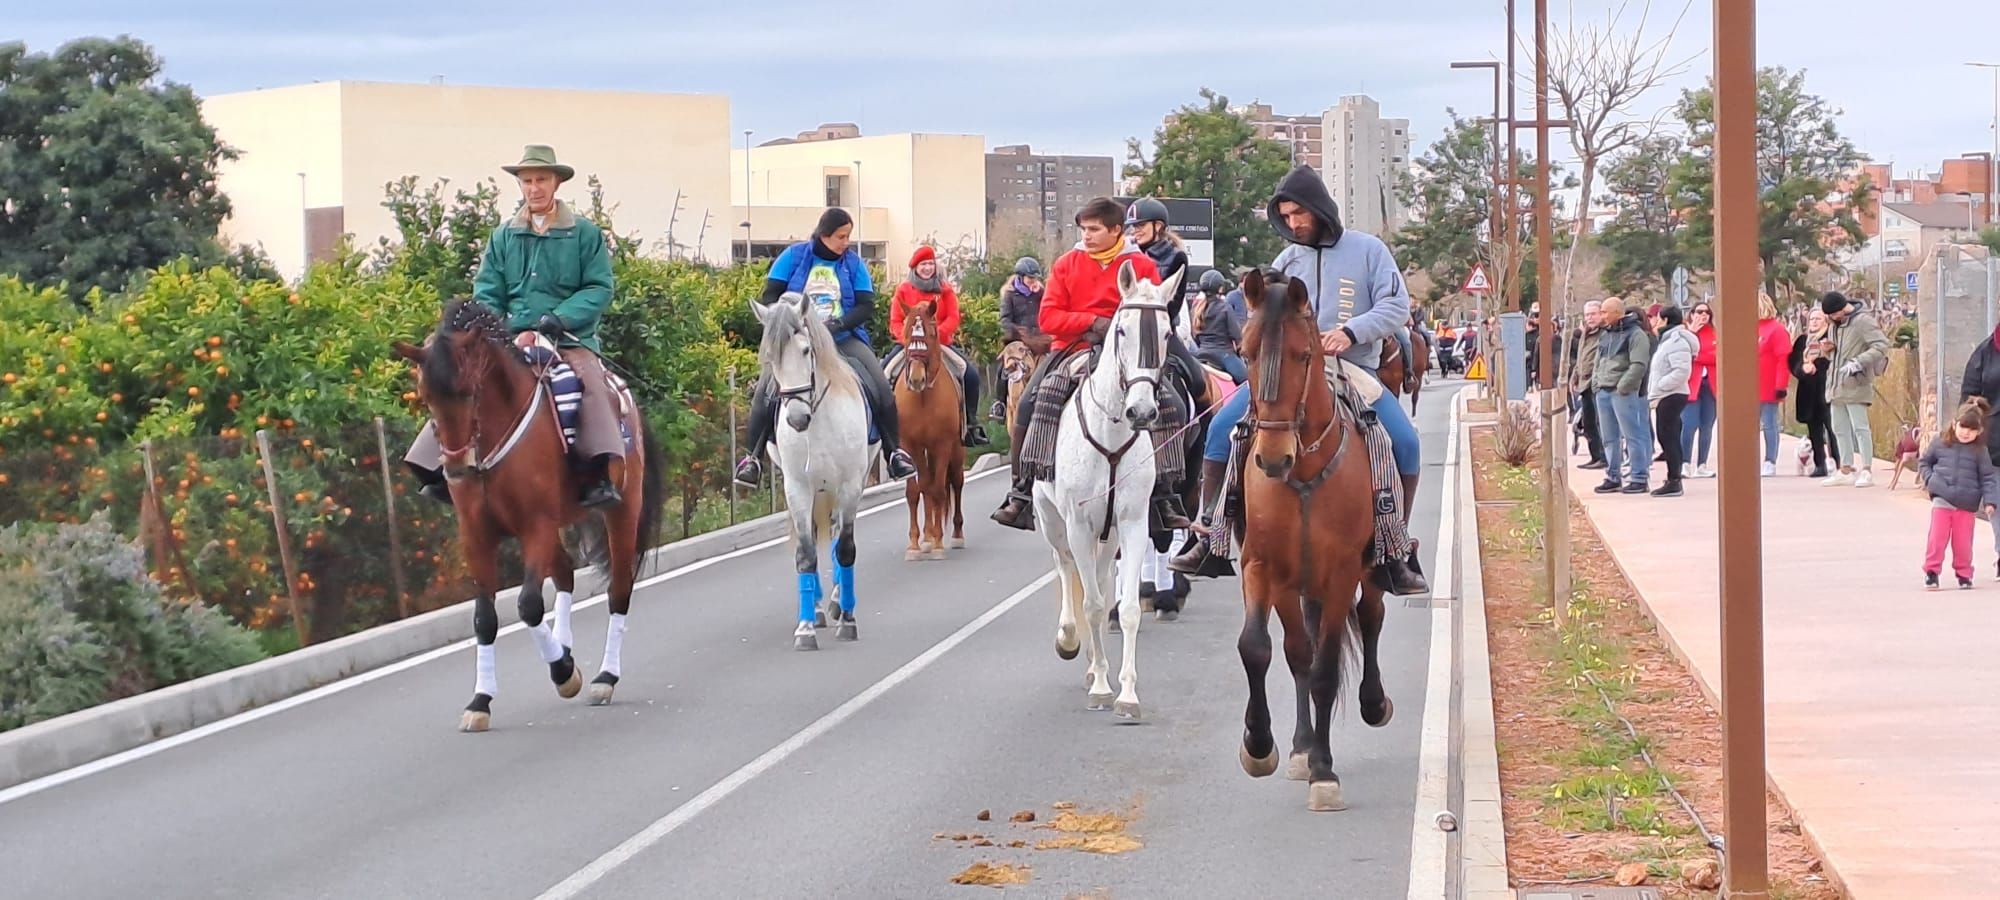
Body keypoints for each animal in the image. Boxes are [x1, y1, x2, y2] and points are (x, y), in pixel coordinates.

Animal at [394, 298, 668, 736]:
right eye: (425, 397)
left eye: (470, 391)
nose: (455, 467)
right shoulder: (476, 534)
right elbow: (484, 618)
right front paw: (481, 701)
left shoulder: (534, 526)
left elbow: (528, 605)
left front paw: (564, 673)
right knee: (566, 573)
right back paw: (565, 646)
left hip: (622, 510)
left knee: (619, 591)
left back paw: (604, 677)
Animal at [752, 292, 872, 652]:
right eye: (771, 357)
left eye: (806, 350)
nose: (796, 419)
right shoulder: (797, 489)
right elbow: (805, 554)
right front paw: (805, 628)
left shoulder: (850, 485)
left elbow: (845, 549)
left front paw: (848, 621)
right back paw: (819, 609)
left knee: (837, 538)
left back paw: (836, 603)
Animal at [904, 300, 972, 556]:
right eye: (905, 333)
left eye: (932, 334)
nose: (916, 380)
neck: (923, 397)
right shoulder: (910, 446)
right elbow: (918, 490)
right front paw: (916, 543)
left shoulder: (942, 445)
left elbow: (939, 490)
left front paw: (938, 543)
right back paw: (927, 536)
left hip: (956, 449)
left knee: (956, 482)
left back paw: (955, 535)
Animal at [1040, 258, 1176, 716]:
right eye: (1121, 331)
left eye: (1166, 333)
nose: (1142, 412)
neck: (1113, 432)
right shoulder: (1078, 524)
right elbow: (1094, 605)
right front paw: (1101, 686)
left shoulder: (1132, 523)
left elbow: (1128, 607)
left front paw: (1127, 694)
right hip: (1052, 521)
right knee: (1065, 566)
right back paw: (1068, 639)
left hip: (1108, 532)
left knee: (1097, 575)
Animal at [1232, 270, 1392, 812]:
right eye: (1244, 352)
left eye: (1304, 355)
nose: (1272, 458)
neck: (1303, 472)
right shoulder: (1262, 568)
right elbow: (1260, 649)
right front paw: (1261, 745)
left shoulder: (1341, 573)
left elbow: (1324, 670)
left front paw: (1325, 772)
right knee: (1298, 649)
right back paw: (1302, 746)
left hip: (1365, 572)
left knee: (1371, 617)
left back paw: (1372, 703)